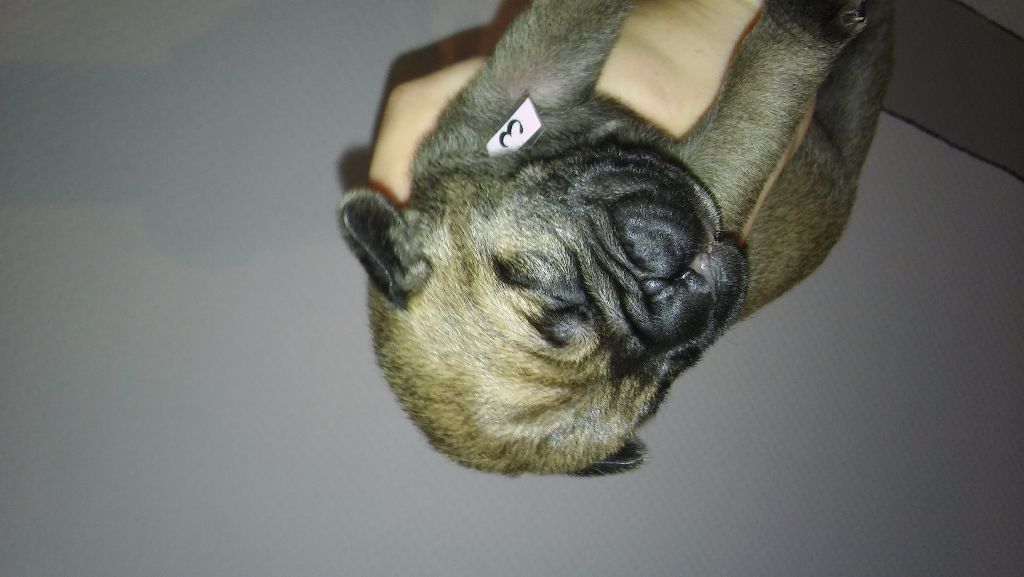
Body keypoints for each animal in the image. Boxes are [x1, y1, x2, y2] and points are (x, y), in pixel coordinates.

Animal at [340, 0, 893, 475]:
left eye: (547, 289)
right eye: (664, 383)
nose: (675, 301)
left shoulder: (506, 101)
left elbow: (565, 23)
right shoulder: (711, 177)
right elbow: (758, 98)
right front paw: (808, 26)